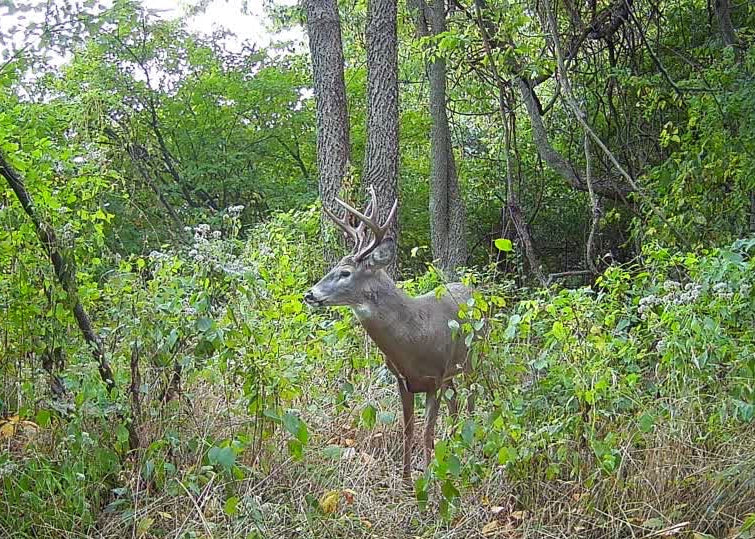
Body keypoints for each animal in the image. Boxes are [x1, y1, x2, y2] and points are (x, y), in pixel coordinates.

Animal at [304, 185, 473, 479]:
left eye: (345, 272)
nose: (309, 294)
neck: (414, 338)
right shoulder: (403, 380)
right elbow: (408, 430)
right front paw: (406, 479)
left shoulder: (435, 378)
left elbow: (427, 433)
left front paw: (428, 478)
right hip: (452, 372)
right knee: (455, 404)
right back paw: (453, 444)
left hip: (472, 357)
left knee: (471, 399)